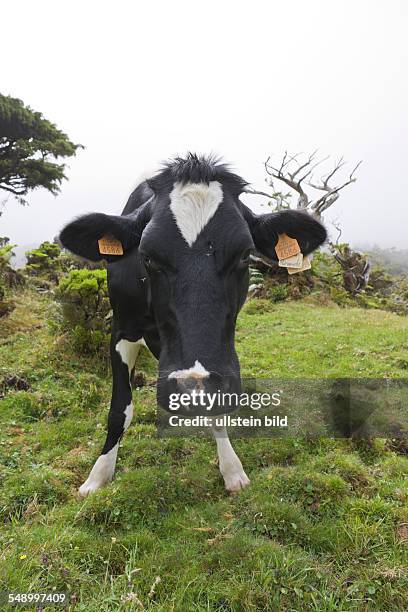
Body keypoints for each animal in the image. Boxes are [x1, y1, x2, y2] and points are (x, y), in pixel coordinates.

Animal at [59, 153, 326, 498]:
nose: (193, 383)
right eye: (147, 257)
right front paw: (98, 476)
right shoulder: (120, 329)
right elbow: (119, 410)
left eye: (245, 255)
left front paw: (232, 470)